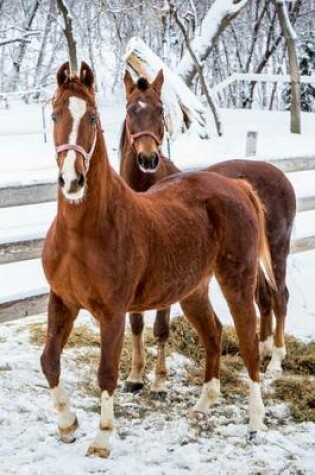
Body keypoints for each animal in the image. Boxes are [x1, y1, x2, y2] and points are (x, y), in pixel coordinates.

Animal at [40, 61, 276, 460]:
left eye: (92, 116)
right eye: (55, 114)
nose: (72, 180)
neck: (84, 232)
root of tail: (238, 187)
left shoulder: (113, 312)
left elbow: (107, 372)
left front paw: (102, 439)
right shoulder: (62, 301)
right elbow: (49, 360)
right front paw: (67, 424)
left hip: (237, 283)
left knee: (248, 343)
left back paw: (256, 424)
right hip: (193, 291)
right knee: (214, 333)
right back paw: (203, 405)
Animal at [119, 70, 298, 398]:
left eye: (161, 110)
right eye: (130, 110)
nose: (148, 158)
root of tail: (278, 175)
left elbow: (160, 328)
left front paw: (159, 381)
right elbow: (135, 323)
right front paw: (135, 377)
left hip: (278, 251)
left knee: (280, 296)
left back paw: (277, 360)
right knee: (264, 299)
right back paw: (263, 348)